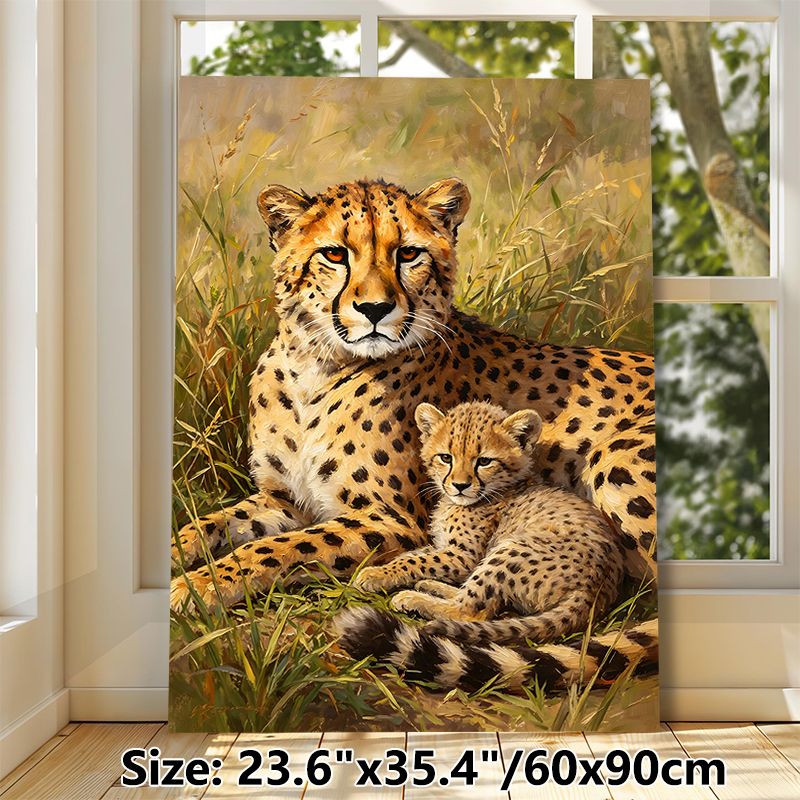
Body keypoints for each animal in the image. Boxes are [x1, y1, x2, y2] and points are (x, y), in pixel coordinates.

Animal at [170, 177, 657, 613]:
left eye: (408, 254)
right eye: (334, 254)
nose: (375, 309)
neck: (316, 366)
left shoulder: (391, 519)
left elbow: (281, 548)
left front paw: (199, 585)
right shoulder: (285, 498)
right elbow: (212, 522)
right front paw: (179, 557)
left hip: (612, 459)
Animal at [336, 401, 656, 691]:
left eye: (484, 461)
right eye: (446, 457)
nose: (460, 485)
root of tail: (598, 588)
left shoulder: (463, 556)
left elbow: (416, 560)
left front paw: (375, 575)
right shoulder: (447, 547)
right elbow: (417, 554)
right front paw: (381, 570)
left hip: (512, 549)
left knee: (470, 610)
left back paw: (415, 598)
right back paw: (430, 586)